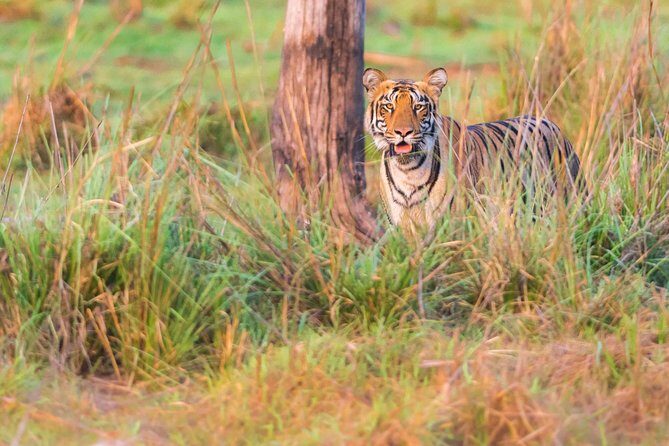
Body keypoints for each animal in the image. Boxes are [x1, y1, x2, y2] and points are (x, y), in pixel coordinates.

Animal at [362, 67, 583, 233]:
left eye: (418, 107)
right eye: (389, 106)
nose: (403, 132)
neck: (408, 171)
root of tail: (551, 123)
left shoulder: (453, 225)